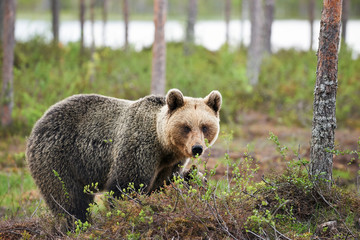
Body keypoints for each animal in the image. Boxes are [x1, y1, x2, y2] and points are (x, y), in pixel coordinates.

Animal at [25, 88, 221, 225]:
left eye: (205, 126)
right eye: (186, 126)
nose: (197, 148)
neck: (163, 145)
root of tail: (38, 123)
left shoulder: (169, 163)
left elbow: (162, 185)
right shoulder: (139, 147)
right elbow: (126, 186)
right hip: (58, 156)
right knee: (69, 198)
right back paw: (76, 225)